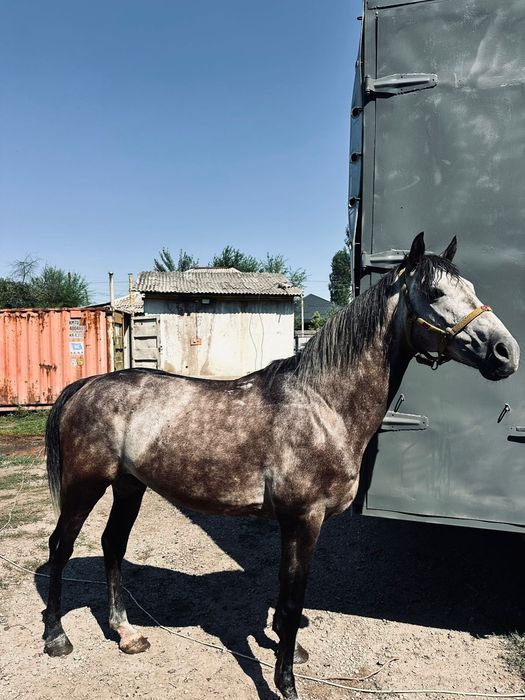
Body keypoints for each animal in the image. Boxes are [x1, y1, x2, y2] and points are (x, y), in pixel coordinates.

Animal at [42, 233, 519, 699]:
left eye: (471, 287)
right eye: (435, 291)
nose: (506, 352)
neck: (323, 406)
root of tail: (85, 386)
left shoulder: (292, 523)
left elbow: (284, 595)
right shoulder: (303, 520)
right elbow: (291, 603)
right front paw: (286, 683)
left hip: (129, 486)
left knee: (113, 545)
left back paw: (125, 633)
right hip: (85, 486)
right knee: (60, 547)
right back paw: (56, 637)